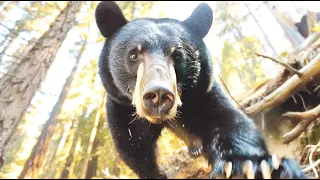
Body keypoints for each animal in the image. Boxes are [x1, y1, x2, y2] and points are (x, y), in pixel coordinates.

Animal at [95, 1, 308, 179]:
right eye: (133, 54)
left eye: (178, 55)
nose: (159, 95)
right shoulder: (121, 106)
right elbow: (132, 146)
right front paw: (157, 173)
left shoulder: (202, 92)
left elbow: (227, 120)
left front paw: (251, 166)